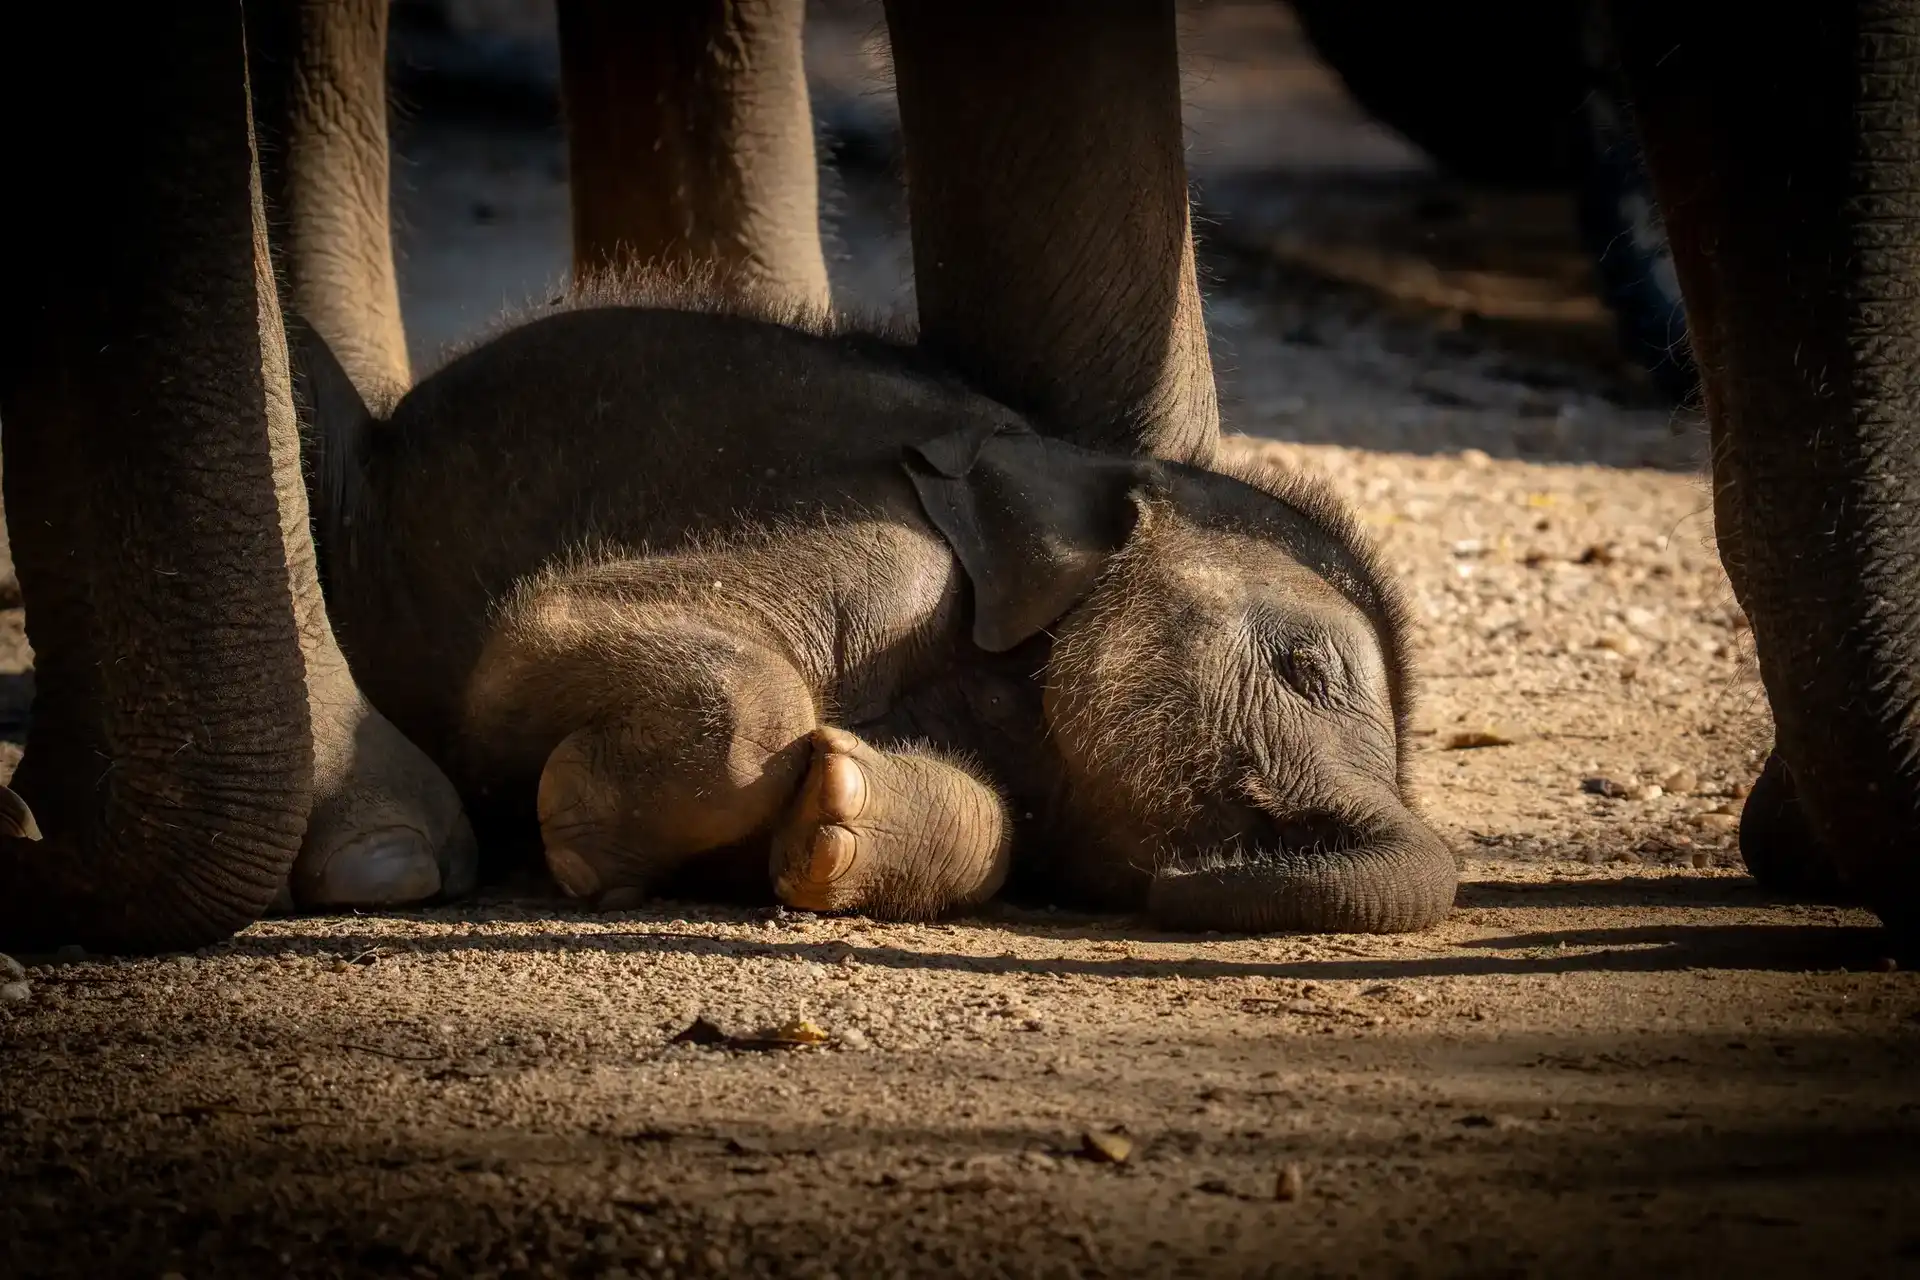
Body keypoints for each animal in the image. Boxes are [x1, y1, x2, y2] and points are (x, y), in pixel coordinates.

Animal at [292, 285, 1452, 933]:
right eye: (1307, 668)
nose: (1188, 877)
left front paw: (832, 808)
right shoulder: (882, 550)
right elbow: (529, 648)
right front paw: (578, 842)